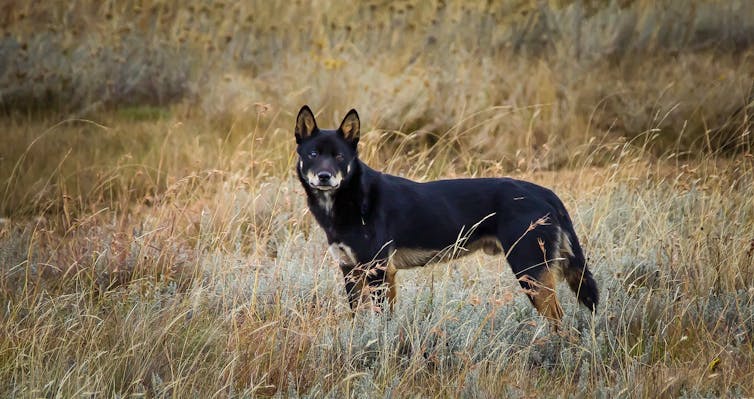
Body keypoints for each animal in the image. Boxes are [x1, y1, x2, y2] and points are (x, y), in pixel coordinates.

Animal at [296, 106, 596, 324]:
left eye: (339, 156)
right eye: (313, 154)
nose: (324, 177)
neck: (353, 200)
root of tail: (544, 192)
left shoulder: (379, 270)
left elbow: (381, 322)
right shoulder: (351, 270)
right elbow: (359, 320)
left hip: (530, 270)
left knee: (560, 321)